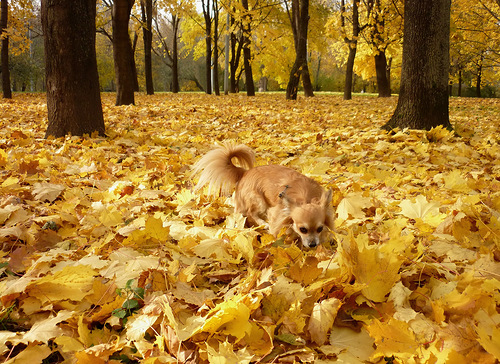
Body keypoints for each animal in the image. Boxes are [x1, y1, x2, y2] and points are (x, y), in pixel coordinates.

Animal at [193, 144, 334, 249]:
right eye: (303, 229)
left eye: (320, 228)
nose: (313, 244)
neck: (305, 198)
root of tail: (245, 172)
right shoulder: (275, 213)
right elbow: (277, 230)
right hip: (259, 200)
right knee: (251, 213)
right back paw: (263, 224)